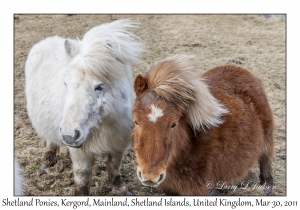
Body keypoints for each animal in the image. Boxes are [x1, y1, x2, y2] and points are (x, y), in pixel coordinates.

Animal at [24, 19, 144, 195]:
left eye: (99, 87)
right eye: (65, 83)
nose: (68, 135)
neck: (103, 124)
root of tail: (46, 40)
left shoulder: (117, 143)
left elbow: (114, 167)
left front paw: (120, 190)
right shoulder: (81, 152)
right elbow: (83, 173)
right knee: (50, 140)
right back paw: (47, 160)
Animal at [131, 55, 274, 195]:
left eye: (174, 124)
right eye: (136, 121)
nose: (150, 176)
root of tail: (239, 69)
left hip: (267, 136)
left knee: (265, 158)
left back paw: (267, 186)